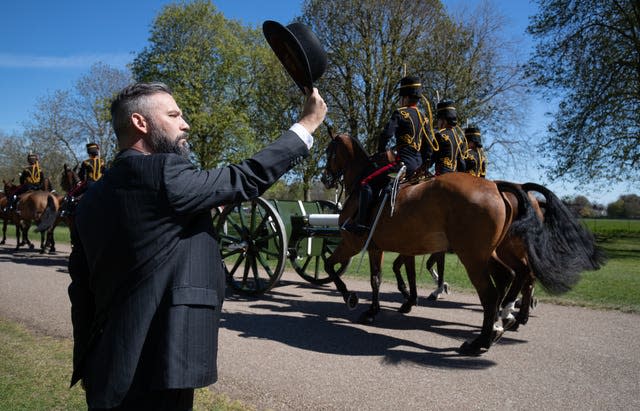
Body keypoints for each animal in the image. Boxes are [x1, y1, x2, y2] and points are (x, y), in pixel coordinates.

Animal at [320, 134, 604, 354]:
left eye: (328, 151)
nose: (325, 179)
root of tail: (499, 188)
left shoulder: (354, 244)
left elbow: (333, 266)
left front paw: (352, 298)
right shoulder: (388, 248)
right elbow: (386, 276)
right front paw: (394, 304)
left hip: (476, 257)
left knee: (496, 290)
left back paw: (483, 339)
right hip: (490, 253)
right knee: (514, 277)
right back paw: (504, 321)